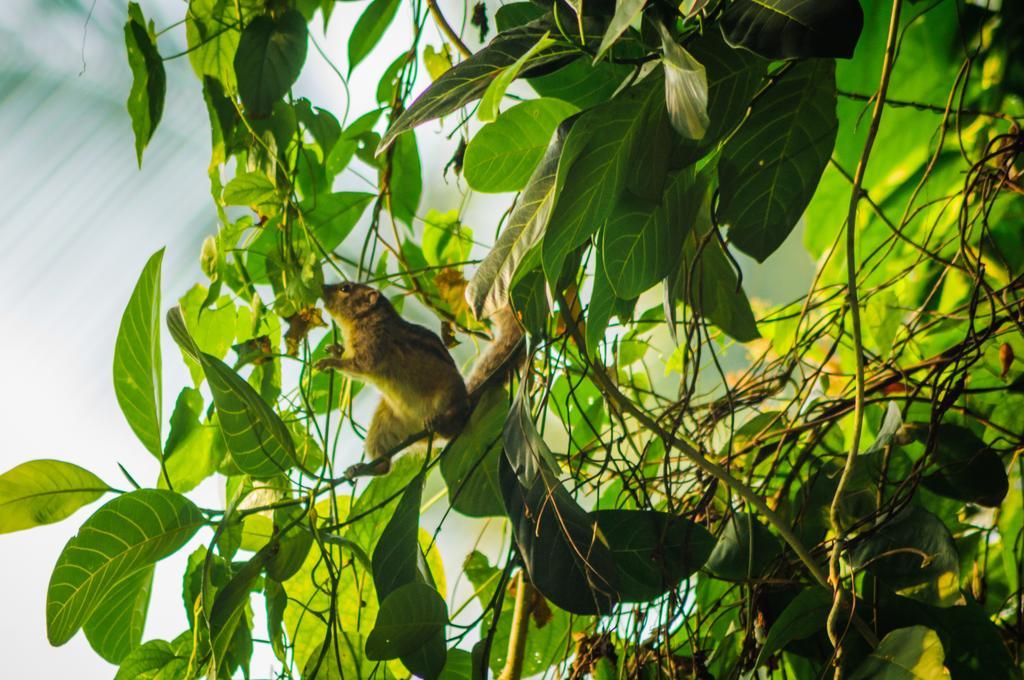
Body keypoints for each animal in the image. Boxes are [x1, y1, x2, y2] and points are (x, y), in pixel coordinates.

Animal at [315, 280, 524, 477]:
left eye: (345, 288)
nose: (322, 286)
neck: (367, 318)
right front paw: (335, 349)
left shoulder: (373, 348)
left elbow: (359, 367)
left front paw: (329, 362)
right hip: (383, 425)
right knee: (384, 466)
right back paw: (360, 469)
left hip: (448, 399)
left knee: (451, 428)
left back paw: (435, 421)